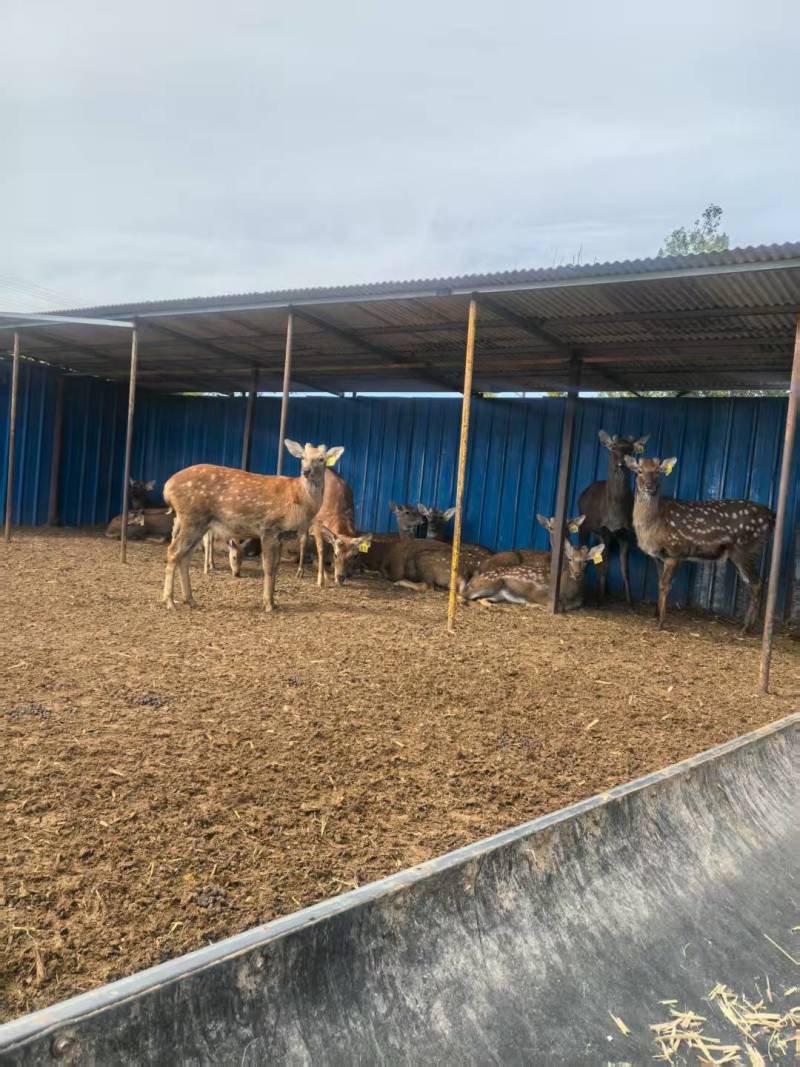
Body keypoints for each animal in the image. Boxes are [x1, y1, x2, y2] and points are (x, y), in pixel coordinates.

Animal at [162, 440, 343, 611]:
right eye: (303, 457)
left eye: (321, 459)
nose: (306, 471)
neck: (299, 501)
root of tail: (167, 488)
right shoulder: (269, 527)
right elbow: (268, 567)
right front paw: (267, 604)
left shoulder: (282, 535)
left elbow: (276, 567)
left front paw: (274, 602)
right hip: (192, 517)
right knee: (173, 551)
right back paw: (170, 602)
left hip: (200, 523)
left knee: (185, 556)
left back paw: (190, 600)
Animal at [578, 431, 650, 605]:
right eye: (613, 448)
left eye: (630, 450)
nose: (621, 463)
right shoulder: (604, 531)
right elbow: (604, 566)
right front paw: (599, 601)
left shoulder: (626, 534)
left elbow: (625, 569)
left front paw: (630, 603)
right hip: (584, 526)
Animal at [624, 455, 775, 633]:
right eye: (639, 471)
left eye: (657, 472)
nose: (650, 487)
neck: (655, 523)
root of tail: (773, 517)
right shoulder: (658, 556)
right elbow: (659, 583)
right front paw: (655, 615)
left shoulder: (675, 551)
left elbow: (665, 585)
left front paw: (660, 623)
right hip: (740, 553)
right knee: (751, 583)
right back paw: (745, 625)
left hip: (746, 549)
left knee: (757, 583)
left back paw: (746, 628)